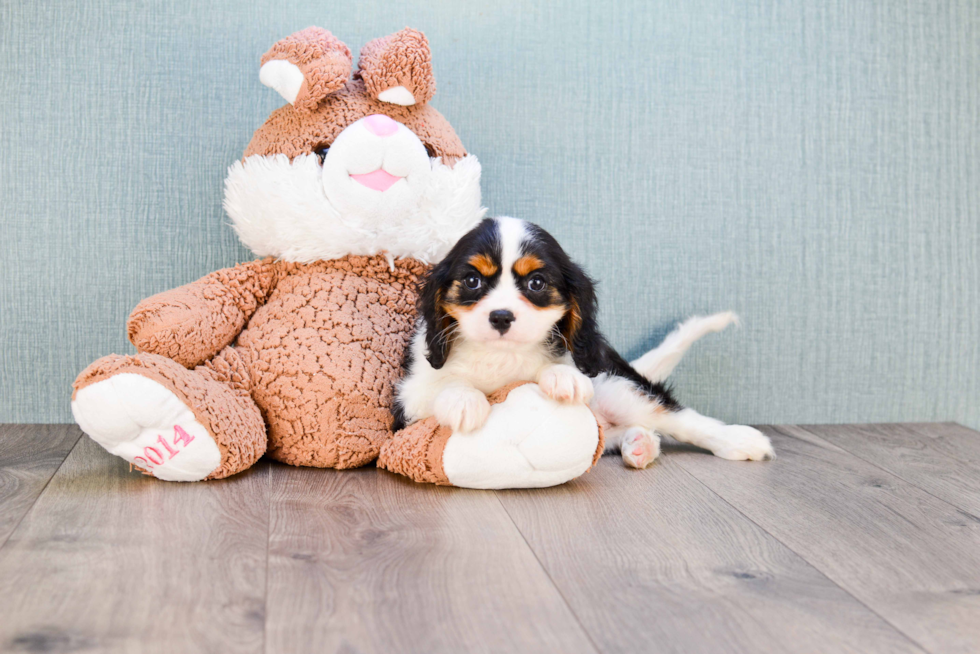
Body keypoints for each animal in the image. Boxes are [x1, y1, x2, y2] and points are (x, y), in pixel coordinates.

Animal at [390, 218, 772, 468]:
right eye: (472, 281)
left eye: (536, 283)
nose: (500, 317)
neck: (501, 356)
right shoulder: (409, 399)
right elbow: (444, 384)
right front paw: (465, 400)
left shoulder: (589, 364)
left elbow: (562, 366)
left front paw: (562, 377)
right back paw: (641, 445)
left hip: (615, 387)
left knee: (676, 417)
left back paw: (738, 440)